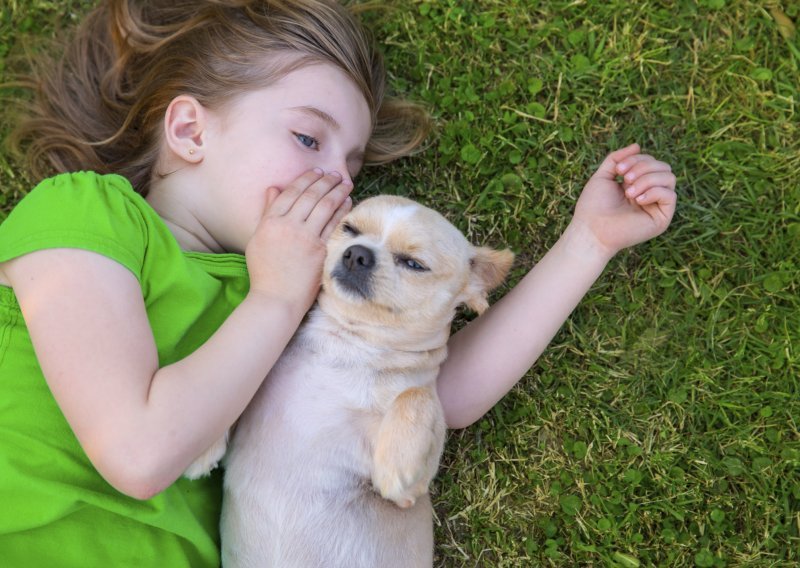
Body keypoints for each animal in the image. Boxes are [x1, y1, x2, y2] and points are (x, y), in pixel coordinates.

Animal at [188, 196, 512, 568]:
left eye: (414, 264)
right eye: (349, 229)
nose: (357, 253)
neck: (346, 345)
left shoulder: (411, 493)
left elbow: (416, 395)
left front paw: (396, 463)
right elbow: (234, 389)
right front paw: (201, 444)